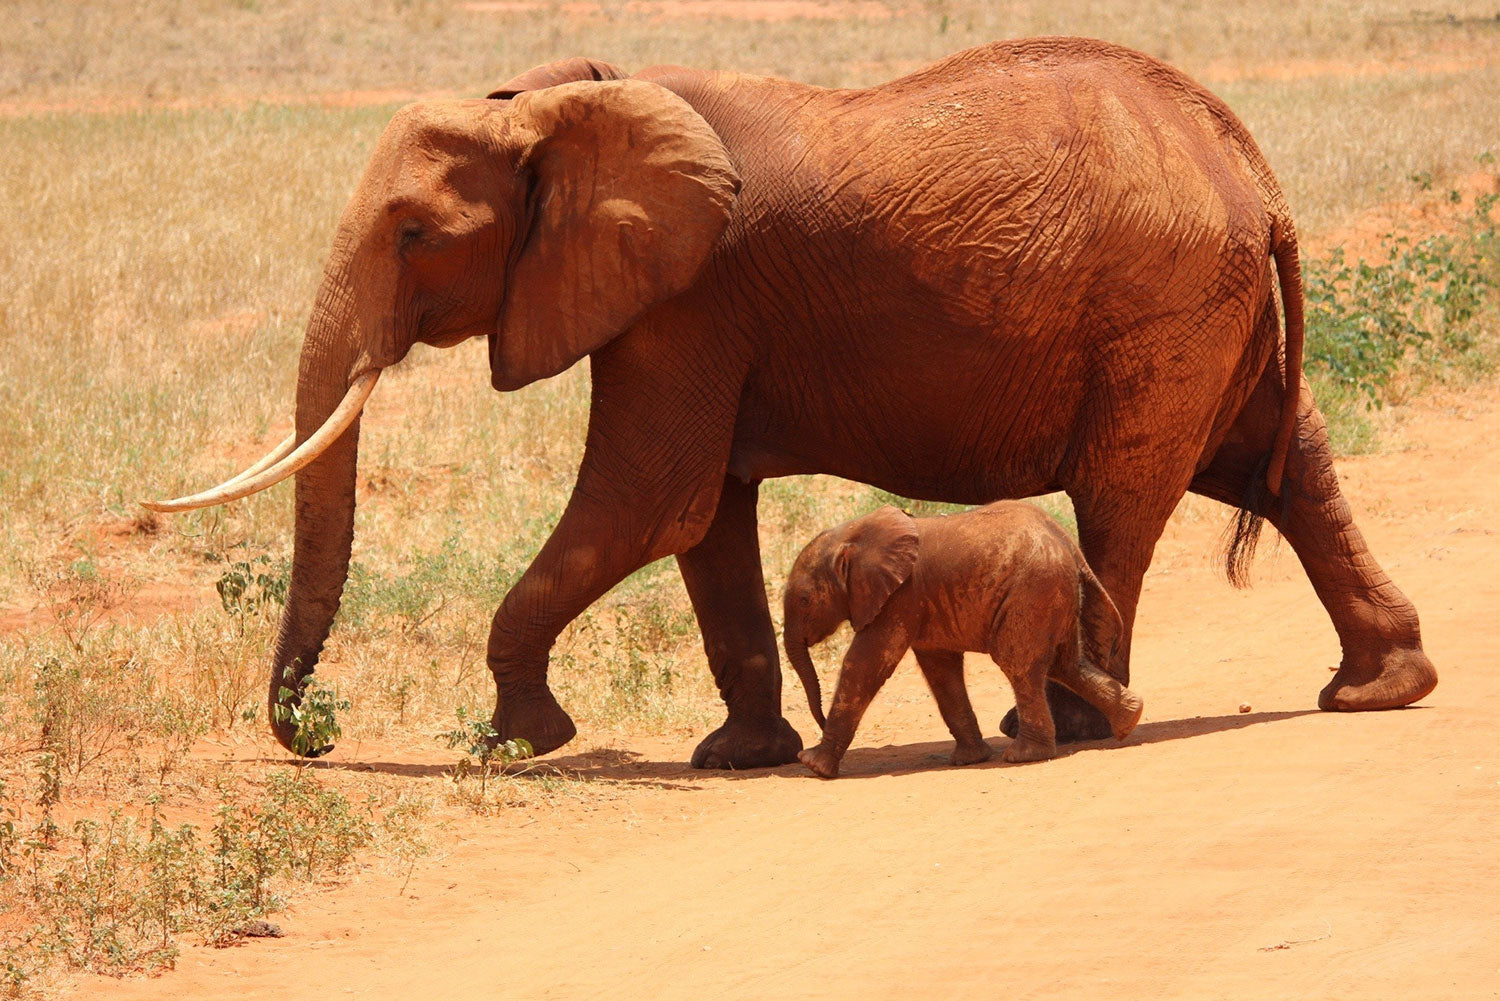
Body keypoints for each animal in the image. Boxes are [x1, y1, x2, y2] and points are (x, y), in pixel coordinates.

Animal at [786, 504, 1134, 780]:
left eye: (804, 600)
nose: (818, 721)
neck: (852, 535)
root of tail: (1068, 544)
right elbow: (941, 672)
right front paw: (971, 759)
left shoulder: (900, 597)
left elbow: (865, 664)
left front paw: (813, 765)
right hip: (1052, 593)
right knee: (1066, 665)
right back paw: (1130, 719)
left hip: (1032, 592)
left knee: (1019, 665)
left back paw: (1024, 756)